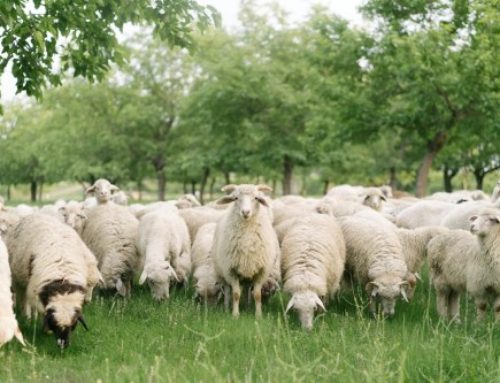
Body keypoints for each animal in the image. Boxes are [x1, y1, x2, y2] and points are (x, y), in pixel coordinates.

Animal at [7, 214, 100, 350]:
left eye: (73, 324)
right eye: (54, 323)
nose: (63, 345)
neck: (63, 281)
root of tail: (37, 214)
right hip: (18, 279)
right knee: (24, 298)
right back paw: (27, 316)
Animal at [212, 184, 280, 320]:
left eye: (256, 198)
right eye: (236, 198)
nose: (245, 212)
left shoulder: (261, 271)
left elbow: (257, 295)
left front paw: (258, 315)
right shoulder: (231, 270)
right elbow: (236, 294)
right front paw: (235, 315)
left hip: (248, 271)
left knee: (248, 289)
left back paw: (248, 306)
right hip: (222, 271)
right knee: (227, 289)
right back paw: (226, 308)